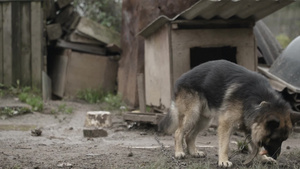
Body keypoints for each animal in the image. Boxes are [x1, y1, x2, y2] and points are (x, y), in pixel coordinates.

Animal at [158, 60, 298, 167]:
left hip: (204, 119)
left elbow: (255, 145)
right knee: (178, 133)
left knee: (189, 136)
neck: (258, 101)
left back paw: (194, 152)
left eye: (283, 140)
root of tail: (180, 78)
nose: (276, 156)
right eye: (274, 139)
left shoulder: (250, 126)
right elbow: (225, 144)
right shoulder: (226, 124)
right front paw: (223, 161)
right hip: (193, 114)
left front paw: (263, 158)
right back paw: (179, 152)